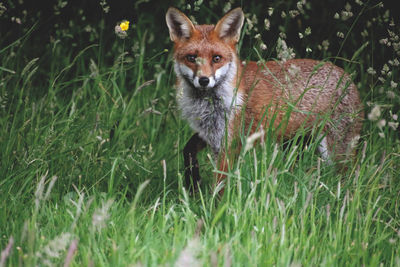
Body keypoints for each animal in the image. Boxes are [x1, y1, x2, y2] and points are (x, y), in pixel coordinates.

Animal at [166, 7, 362, 194]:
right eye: (191, 58)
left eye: (216, 58)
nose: (204, 80)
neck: (208, 104)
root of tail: (347, 76)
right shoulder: (210, 135)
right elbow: (188, 149)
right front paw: (193, 183)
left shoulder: (230, 142)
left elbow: (220, 185)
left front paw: (212, 205)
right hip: (295, 145)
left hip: (334, 153)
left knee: (347, 177)